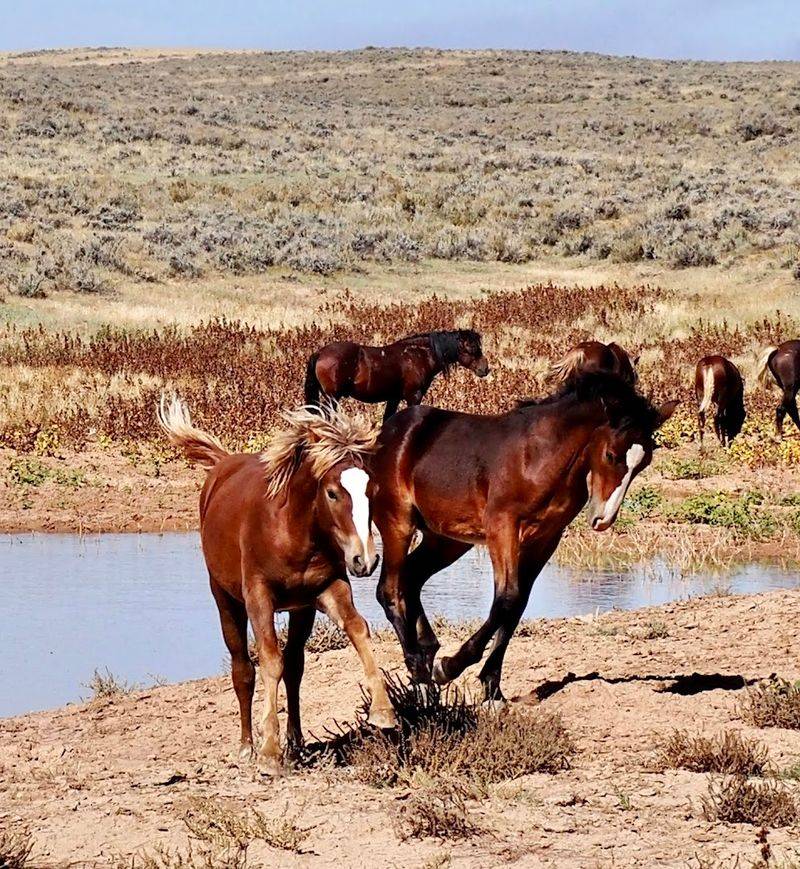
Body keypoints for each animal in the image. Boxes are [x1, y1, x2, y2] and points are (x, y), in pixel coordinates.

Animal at [157, 397, 396, 774]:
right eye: (332, 493)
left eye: (370, 491)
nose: (365, 559)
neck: (291, 530)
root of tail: (222, 463)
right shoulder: (259, 596)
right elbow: (269, 660)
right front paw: (269, 752)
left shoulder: (328, 588)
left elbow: (357, 630)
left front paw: (384, 712)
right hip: (225, 600)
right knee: (243, 669)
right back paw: (247, 747)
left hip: (301, 610)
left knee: (295, 666)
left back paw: (296, 744)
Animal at [304, 329, 490, 421]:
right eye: (472, 347)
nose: (485, 368)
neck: (417, 355)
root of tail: (320, 353)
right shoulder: (414, 396)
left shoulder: (394, 398)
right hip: (332, 398)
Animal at [369, 372, 678, 702]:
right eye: (610, 454)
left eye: (643, 463)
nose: (603, 519)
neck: (539, 457)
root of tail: (386, 433)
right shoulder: (502, 527)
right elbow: (507, 597)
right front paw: (450, 667)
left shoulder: (546, 538)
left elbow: (518, 604)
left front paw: (492, 688)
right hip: (398, 523)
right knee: (389, 589)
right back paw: (421, 674)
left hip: (447, 540)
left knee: (411, 577)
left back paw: (428, 654)